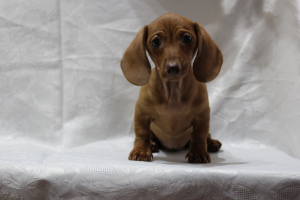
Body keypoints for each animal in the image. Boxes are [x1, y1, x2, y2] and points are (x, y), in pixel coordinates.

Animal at [120, 12, 223, 163]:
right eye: (155, 42)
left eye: (187, 38)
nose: (173, 68)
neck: (173, 93)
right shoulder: (141, 114)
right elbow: (142, 134)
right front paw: (141, 151)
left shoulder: (202, 115)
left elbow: (199, 136)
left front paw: (198, 153)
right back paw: (152, 144)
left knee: (206, 136)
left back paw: (211, 143)